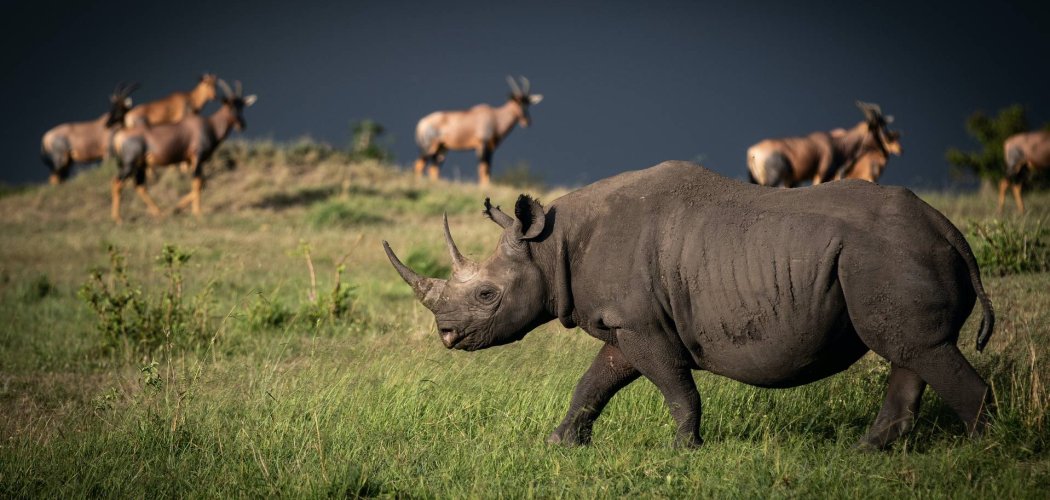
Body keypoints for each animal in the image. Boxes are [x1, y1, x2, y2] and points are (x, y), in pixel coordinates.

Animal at [383, 161, 995, 449]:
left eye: (487, 295)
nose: (446, 335)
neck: (552, 244)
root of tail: (949, 228)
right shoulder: (626, 323)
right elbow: (594, 383)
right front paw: (560, 443)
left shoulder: (643, 325)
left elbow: (676, 388)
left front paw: (684, 449)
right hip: (891, 257)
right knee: (913, 349)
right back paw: (867, 452)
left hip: (887, 255)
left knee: (919, 348)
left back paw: (981, 454)